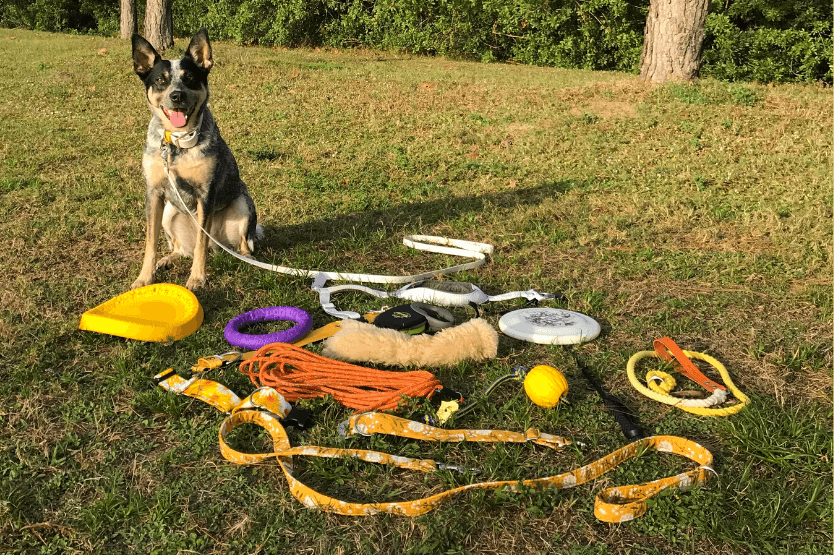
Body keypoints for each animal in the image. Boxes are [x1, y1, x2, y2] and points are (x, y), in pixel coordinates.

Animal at [130, 28, 258, 294]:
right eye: (160, 80)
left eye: (189, 78)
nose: (176, 95)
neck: (178, 143)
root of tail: (220, 246)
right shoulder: (154, 193)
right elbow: (150, 243)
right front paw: (144, 277)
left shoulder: (205, 194)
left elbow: (201, 245)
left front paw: (197, 278)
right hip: (169, 213)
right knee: (182, 249)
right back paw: (169, 259)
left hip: (242, 203)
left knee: (239, 242)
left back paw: (246, 257)